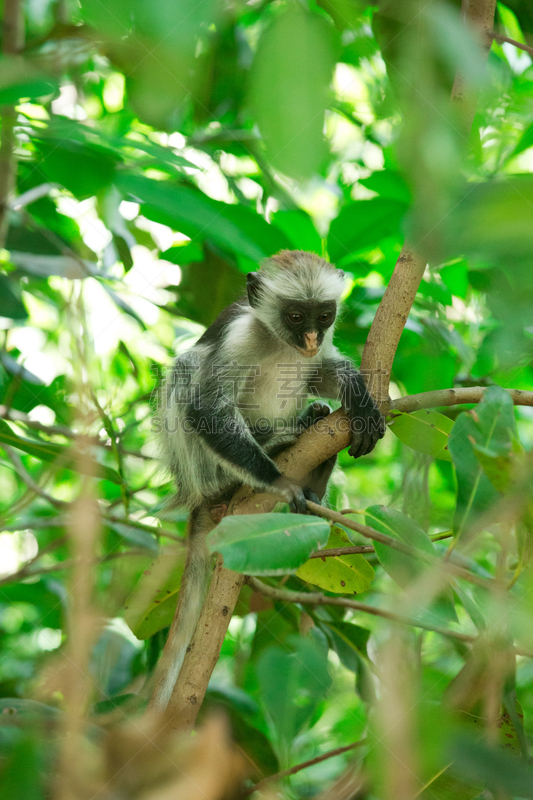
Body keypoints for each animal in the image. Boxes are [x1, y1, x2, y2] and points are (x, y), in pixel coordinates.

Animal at [149, 252, 382, 712]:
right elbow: (205, 407)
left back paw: (313, 462)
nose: (310, 339)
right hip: (197, 471)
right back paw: (267, 451)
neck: (279, 343)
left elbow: (320, 372)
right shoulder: (239, 337)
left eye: (323, 315)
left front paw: (356, 390)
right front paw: (278, 482)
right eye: (294, 316)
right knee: (187, 368)